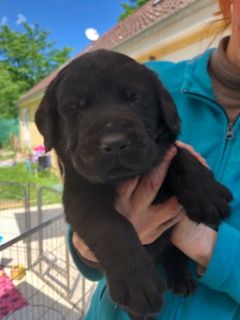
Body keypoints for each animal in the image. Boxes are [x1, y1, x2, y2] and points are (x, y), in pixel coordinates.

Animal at [35, 50, 232, 320]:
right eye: (75, 107)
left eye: (135, 99)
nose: (114, 142)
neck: (124, 178)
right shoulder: (79, 196)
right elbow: (111, 226)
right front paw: (137, 283)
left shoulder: (161, 151)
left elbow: (179, 154)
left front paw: (206, 194)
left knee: (173, 252)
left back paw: (181, 279)